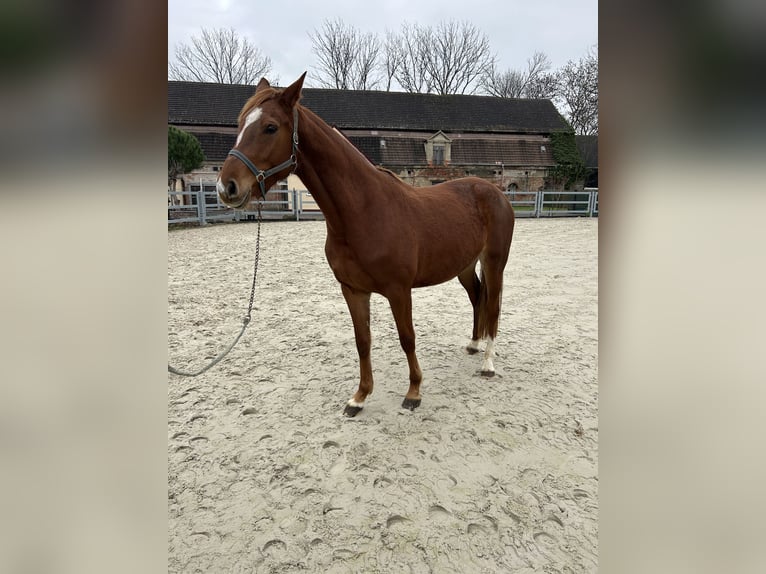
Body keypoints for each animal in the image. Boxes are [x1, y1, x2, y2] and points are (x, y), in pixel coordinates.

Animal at [217, 73, 515, 417]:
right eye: (240, 124)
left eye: (270, 127)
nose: (226, 187)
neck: (363, 211)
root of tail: (496, 192)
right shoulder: (353, 289)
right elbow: (363, 341)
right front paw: (359, 397)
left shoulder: (399, 290)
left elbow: (407, 338)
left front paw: (414, 392)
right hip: (464, 266)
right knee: (477, 297)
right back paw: (474, 344)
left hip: (494, 262)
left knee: (493, 305)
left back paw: (488, 363)